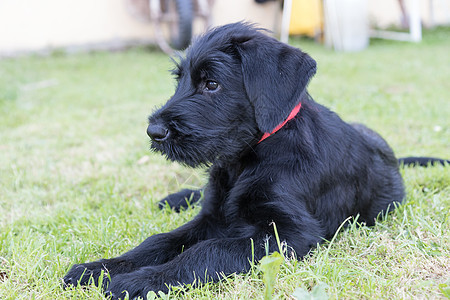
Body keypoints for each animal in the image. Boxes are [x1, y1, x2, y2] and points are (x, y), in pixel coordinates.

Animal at [64, 22, 450, 298]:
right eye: (180, 80)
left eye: (212, 84)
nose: (154, 131)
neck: (247, 157)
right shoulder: (212, 215)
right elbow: (160, 241)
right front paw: (100, 268)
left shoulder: (287, 235)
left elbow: (206, 251)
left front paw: (140, 281)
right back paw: (176, 197)